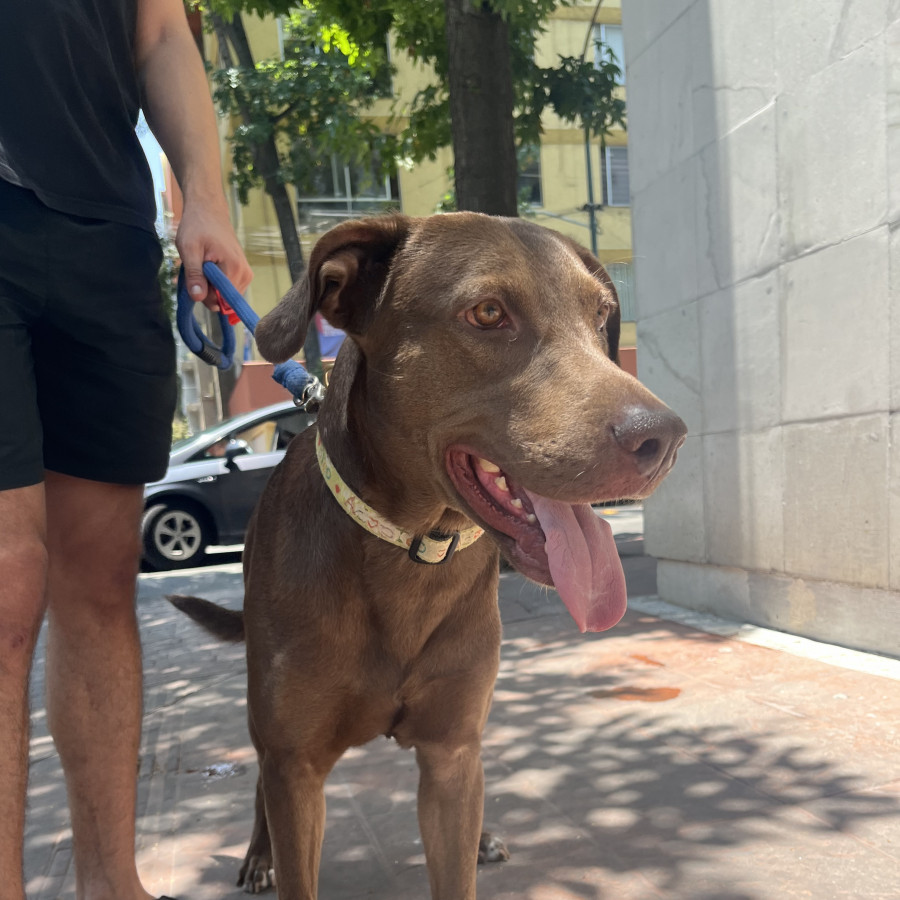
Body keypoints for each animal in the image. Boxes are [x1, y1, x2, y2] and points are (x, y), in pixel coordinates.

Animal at [172, 214, 684, 896]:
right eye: (488, 312)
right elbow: (291, 841)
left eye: (602, 316)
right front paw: (267, 857)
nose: (665, 438)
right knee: (257, 777)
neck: (412, 555)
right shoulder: (296, 765)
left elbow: (456, 858)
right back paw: (258, 855)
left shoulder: (450, 753)